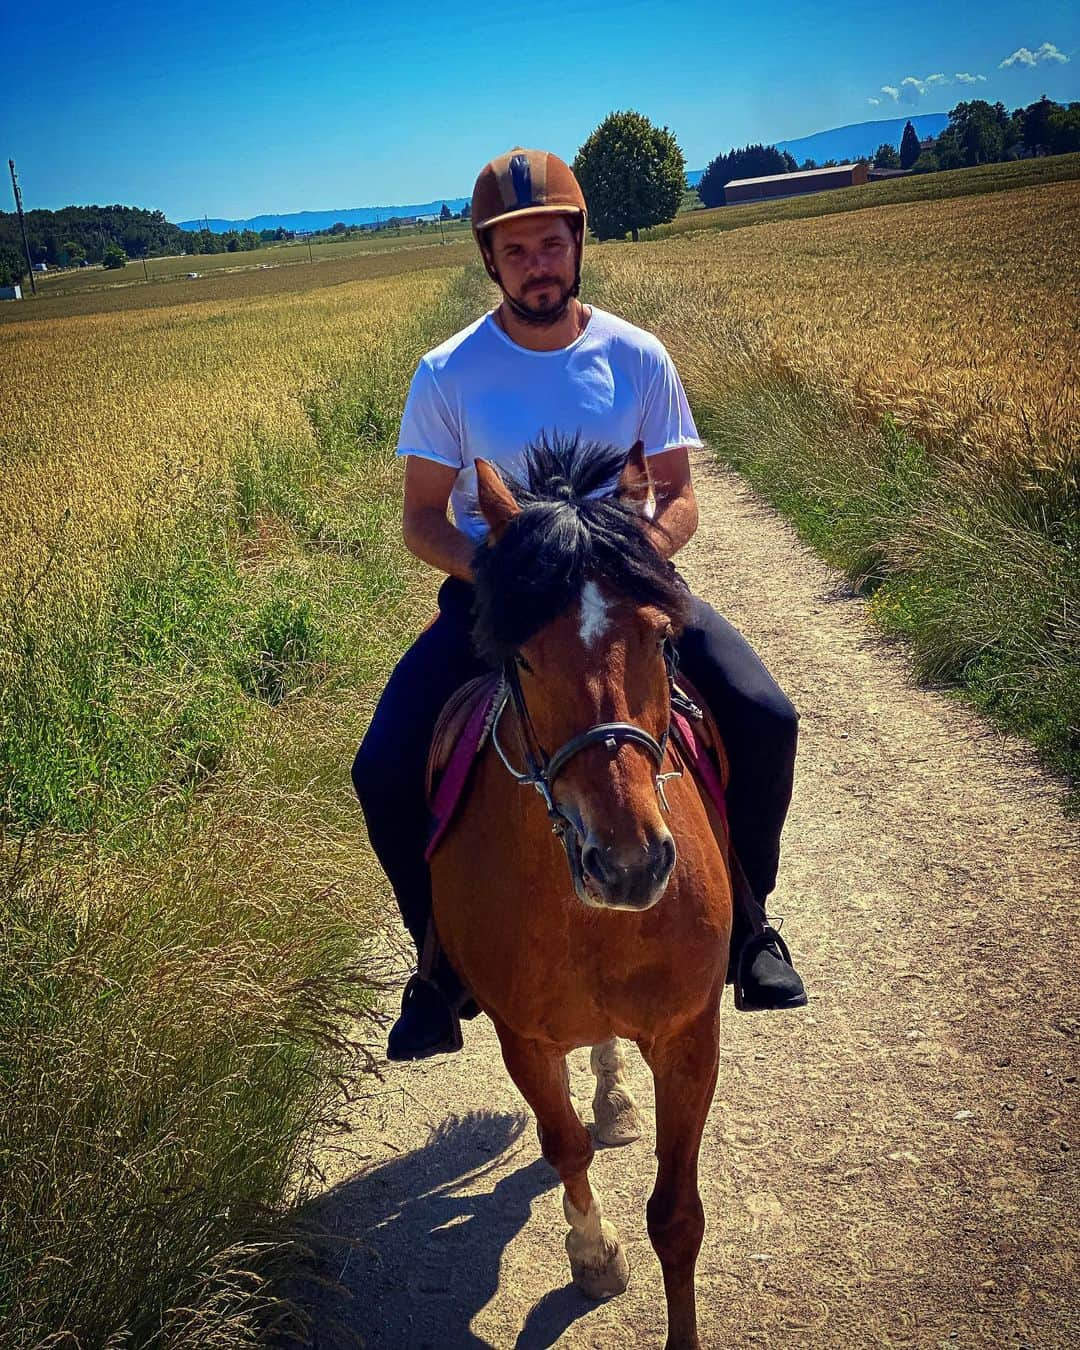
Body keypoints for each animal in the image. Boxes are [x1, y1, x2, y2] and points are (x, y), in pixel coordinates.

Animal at [429, 437, 734, 1344]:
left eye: (662, 639)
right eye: (524, 657)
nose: (628, 863)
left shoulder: (689, 1035)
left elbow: (677, 1216)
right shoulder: (523, 1039)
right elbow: (564, 1147)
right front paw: (593, 1258)